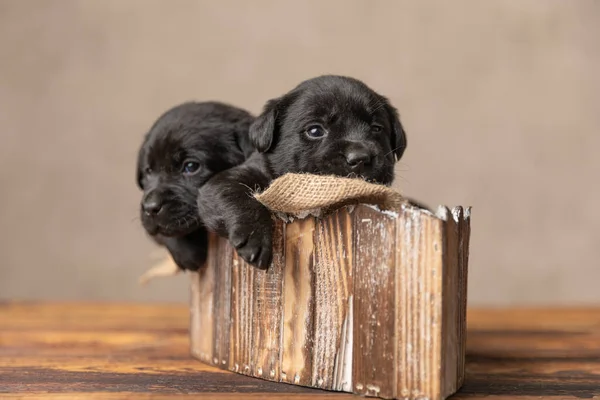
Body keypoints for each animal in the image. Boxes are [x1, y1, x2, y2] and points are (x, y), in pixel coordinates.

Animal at [197, 75, 408, 268]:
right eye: (315, 131)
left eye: (377, 128)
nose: (360, 157)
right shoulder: (223, 182)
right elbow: (237, 196)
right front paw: (255, 237)